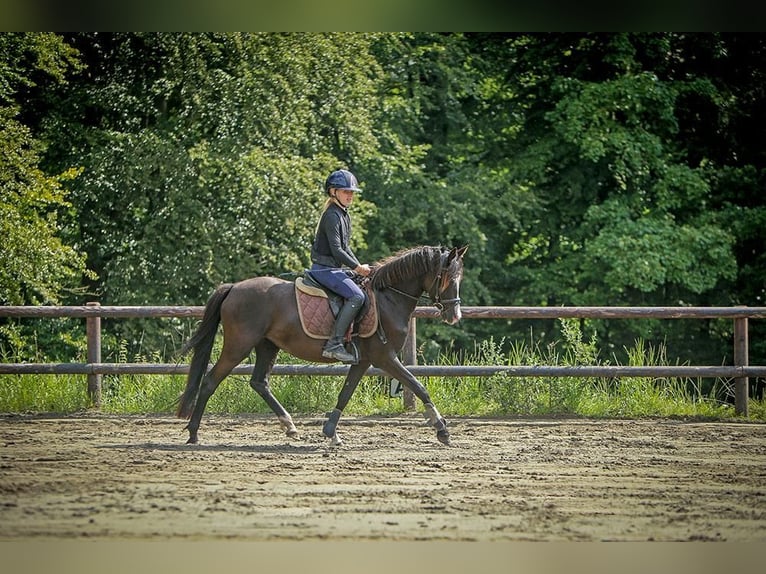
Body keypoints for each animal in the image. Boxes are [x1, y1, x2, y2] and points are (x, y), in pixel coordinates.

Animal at [177, 245, 468, 448]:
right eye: (445, 277)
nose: (454, 315)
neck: (389, 299)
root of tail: (234, 287)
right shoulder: (384, 358)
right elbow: (418, 386)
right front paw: (442, 429)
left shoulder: (364, 360)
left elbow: (345, 394)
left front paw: (331, 433)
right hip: (239, 345)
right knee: (210, 381)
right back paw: (193, 433)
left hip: (267, 346)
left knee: (259, 382)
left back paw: (289, 426)